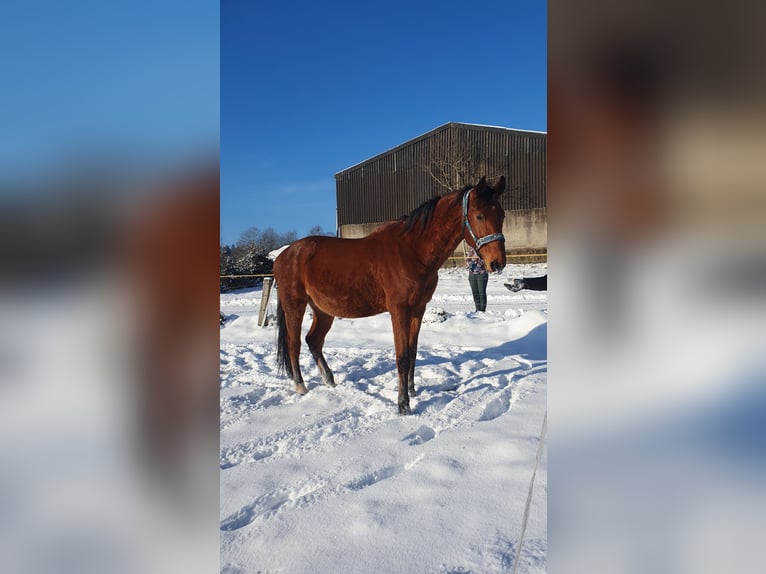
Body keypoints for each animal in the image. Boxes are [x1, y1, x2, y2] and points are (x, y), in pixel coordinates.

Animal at [272, 176, 508, 414]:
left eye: (502, 215)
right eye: (479, 215)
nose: (497, 263)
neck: (412, 251)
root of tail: (283, 255)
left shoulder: (418, 310)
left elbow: (412, 352)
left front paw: (412, 391)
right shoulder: (399, 311)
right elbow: (402, 357)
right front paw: (403, 404)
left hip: (323, 310)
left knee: (313, 340)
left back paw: (329, 380)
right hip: (295, 306)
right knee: (294, 342)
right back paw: (301, 386)